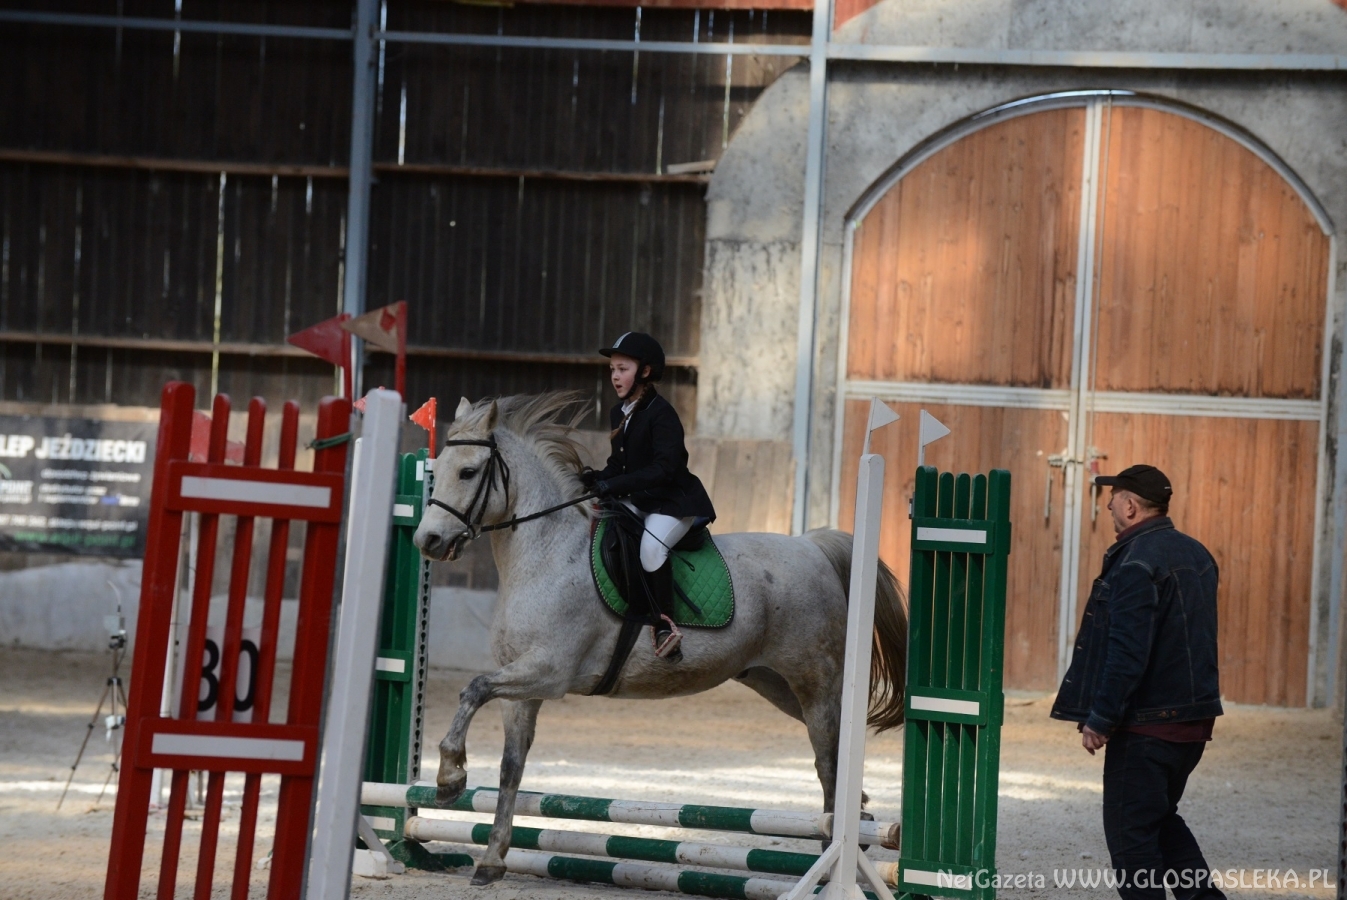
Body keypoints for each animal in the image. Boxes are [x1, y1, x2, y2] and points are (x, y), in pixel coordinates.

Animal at [412, 392, 908, 885]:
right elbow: (509, 766)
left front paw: (449, 776)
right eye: (437, 467)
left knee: (828, 759)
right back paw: (857, 825)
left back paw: (835, 854)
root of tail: (812, 545)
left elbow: (473, 688)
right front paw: (491, 858)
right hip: (777, 684)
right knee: (835, 753)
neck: (544, 555)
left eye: (468, 472)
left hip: (814, 680)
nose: (427, 540)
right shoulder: (522, 687)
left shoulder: (548, 673)